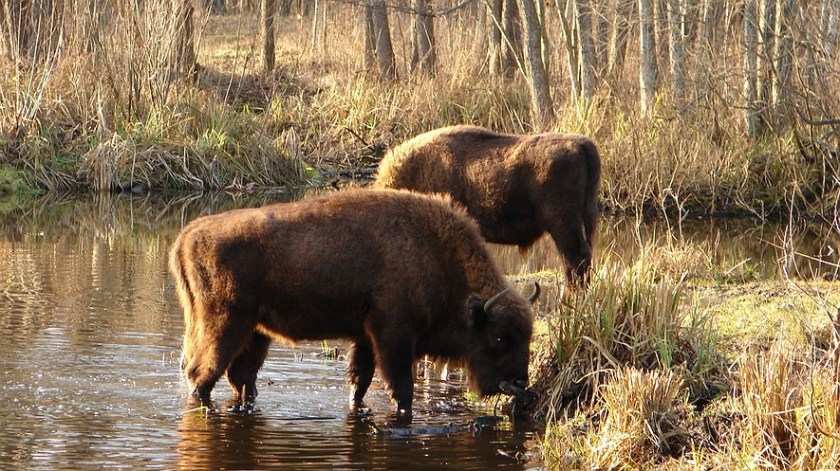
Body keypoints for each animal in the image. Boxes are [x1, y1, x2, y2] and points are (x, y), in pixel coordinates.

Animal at [169, 189, 539, 416]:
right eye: (499, 337)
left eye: (528, 336)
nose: (520, 383)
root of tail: (187, 235)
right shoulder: (393, 338)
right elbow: (401, 388)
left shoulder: (365, 339)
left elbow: (359, 383)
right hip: (224, 324)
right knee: (202, 374)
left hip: (256, 331)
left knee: (241, 377)